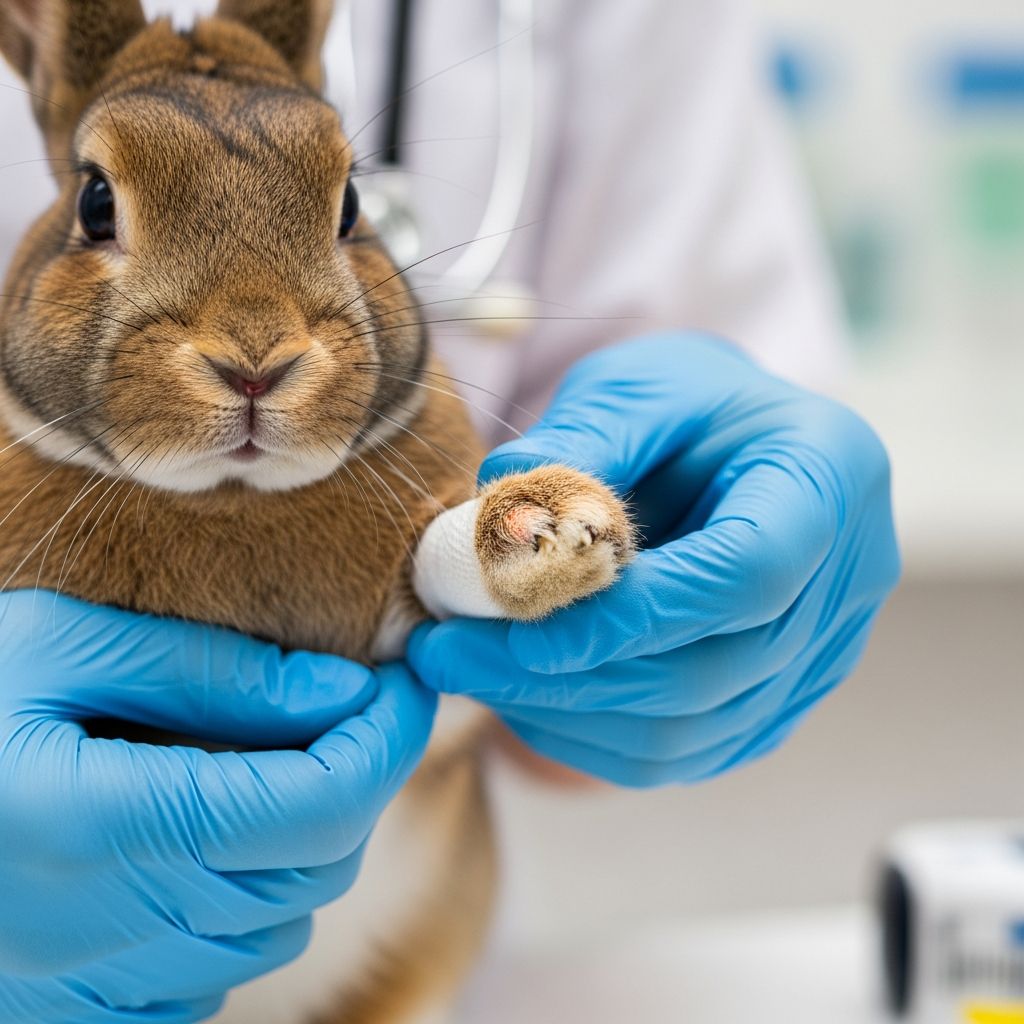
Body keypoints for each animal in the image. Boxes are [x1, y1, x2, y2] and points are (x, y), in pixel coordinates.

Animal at [0, 1, 635, 1021]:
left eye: (349, 205)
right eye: (96, 202)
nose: (257, 361)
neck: (232, 496)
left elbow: (439, 583)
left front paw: (551, 532)